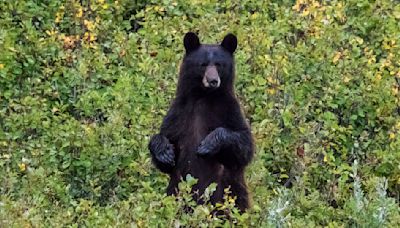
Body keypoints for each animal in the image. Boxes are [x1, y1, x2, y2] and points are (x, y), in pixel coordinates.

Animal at [148, 32, 255, 212]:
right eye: (203, 64)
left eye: (219, 64)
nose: (213, 81)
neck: (204, 96)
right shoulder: (179, 113)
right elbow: (166, 143)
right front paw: (165, 152)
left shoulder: (230, 110)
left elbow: (244, 145)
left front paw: (208, 144)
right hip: (175, 191)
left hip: (230, 193)